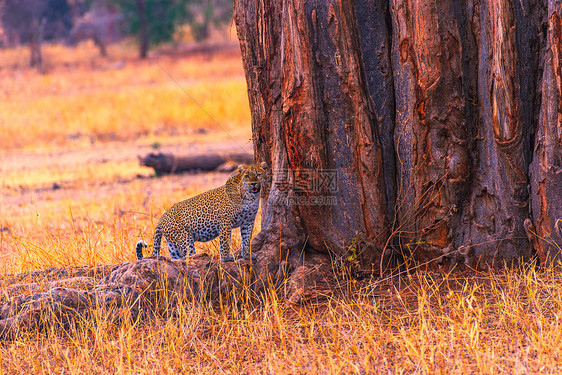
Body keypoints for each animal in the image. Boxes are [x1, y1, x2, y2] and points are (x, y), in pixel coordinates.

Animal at [135, 161, 266, 262]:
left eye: (258, 175)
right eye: (247, 176)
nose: (254, 184)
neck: (250, 197)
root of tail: (161, 219)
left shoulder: (248, 221)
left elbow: (247, 238)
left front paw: (247, 255)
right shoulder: (226, 221)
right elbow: (225, 240)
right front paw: (225, 257)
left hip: (173, 246)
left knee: (179, 258)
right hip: (185, 239)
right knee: (190, 255)